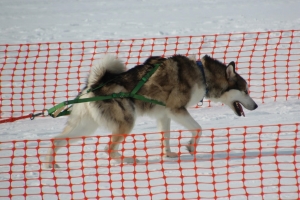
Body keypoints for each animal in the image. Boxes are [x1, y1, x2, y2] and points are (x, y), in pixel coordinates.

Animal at [44, 54, 258, 167]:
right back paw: (130, 160)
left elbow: (166, 137)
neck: (203, 74)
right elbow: (198, 129)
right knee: (108, 149)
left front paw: (169, 154)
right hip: (126, 122)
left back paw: (51, 166)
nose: (256, 106)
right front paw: (190, 146)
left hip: (85, 127)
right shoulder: (176, 110)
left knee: (56, 141)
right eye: (246, 90)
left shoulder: (165, 115)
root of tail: (93, 85)